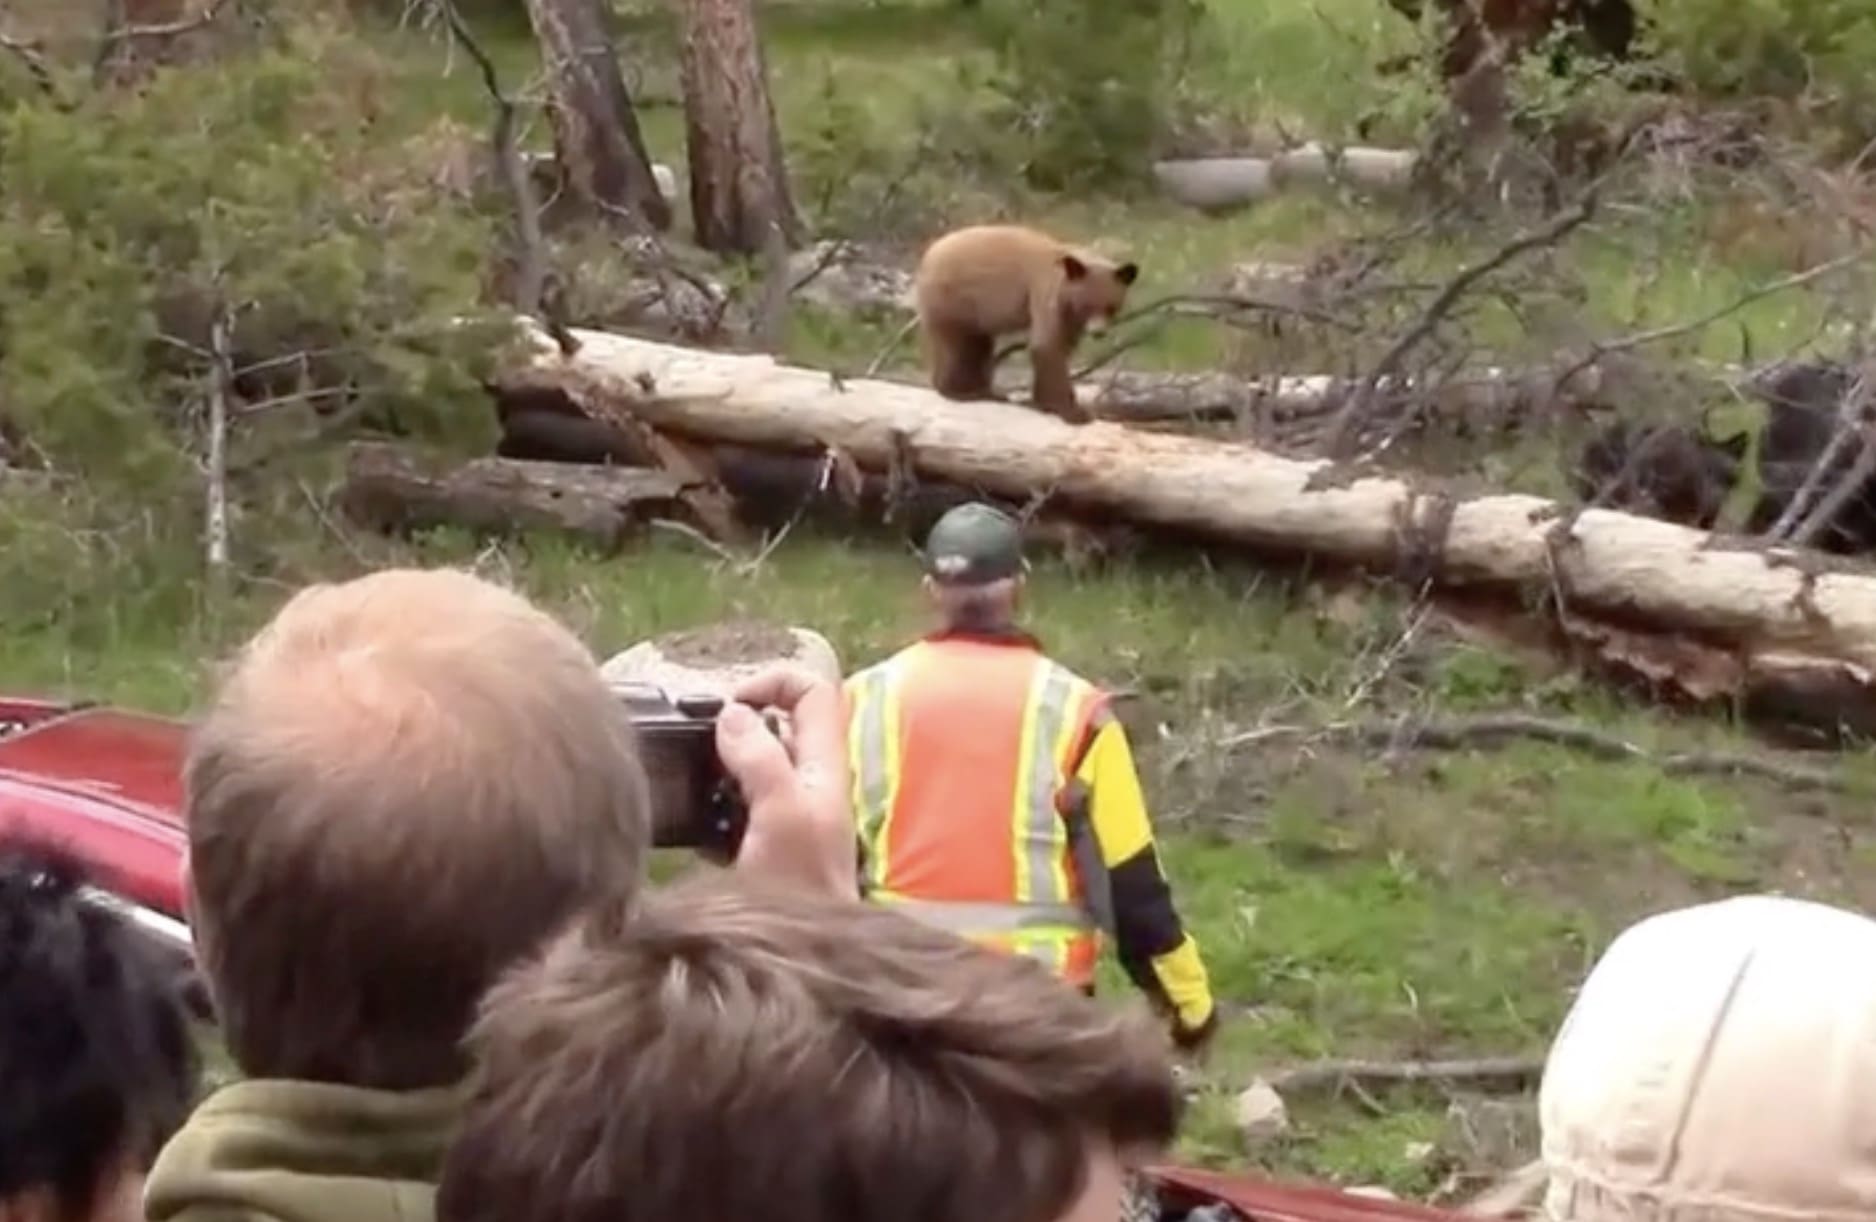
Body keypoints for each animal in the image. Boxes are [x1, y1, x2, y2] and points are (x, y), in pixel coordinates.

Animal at [912, 224, 1139, 424]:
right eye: (1087, 305)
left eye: (1111, 307)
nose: (1098, 332)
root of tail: (927, 258)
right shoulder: (1046, 291)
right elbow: (1048, 345)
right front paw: (1071, 411)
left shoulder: (1068, 314)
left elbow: (1062, 346)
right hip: (954, 300)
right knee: (959, 348)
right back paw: (961, 392)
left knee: (978, 346)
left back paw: (987, 392)